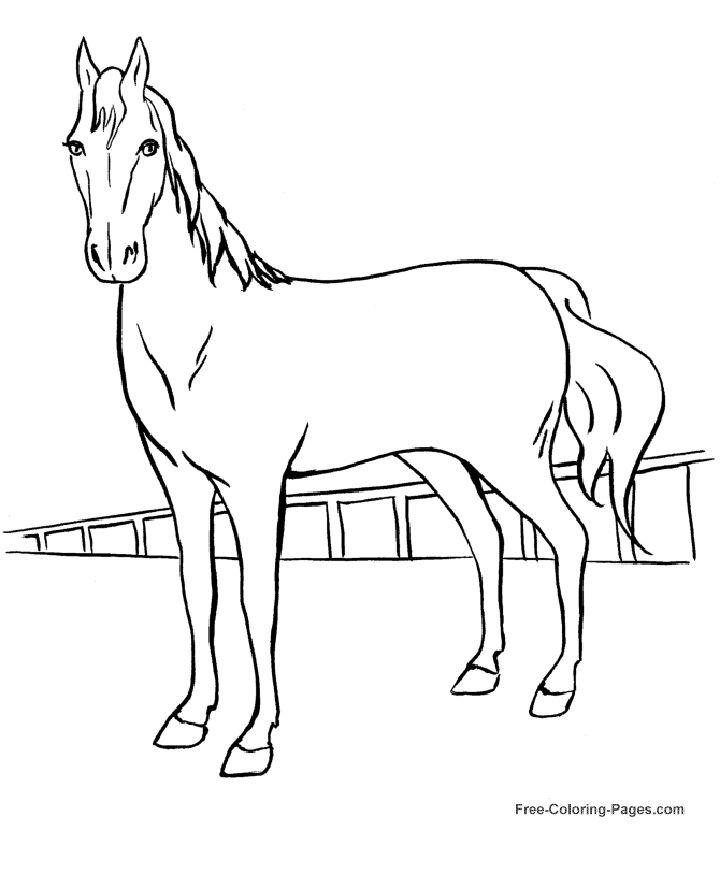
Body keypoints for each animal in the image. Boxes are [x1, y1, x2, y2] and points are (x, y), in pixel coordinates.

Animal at [64, 38, 664, 777]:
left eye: (149, 145)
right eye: (77, 145)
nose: (112, 256)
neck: (203, 333)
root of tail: (538, 286)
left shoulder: (255, 486)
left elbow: (257, 601)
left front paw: (253, 740)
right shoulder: (180, 481)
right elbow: (198, 592)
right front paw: (189, 718)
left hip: (513, 458)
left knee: (570, 535)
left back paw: (556, 686)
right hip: (443, 459)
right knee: (487, 537)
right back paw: (482, 669)